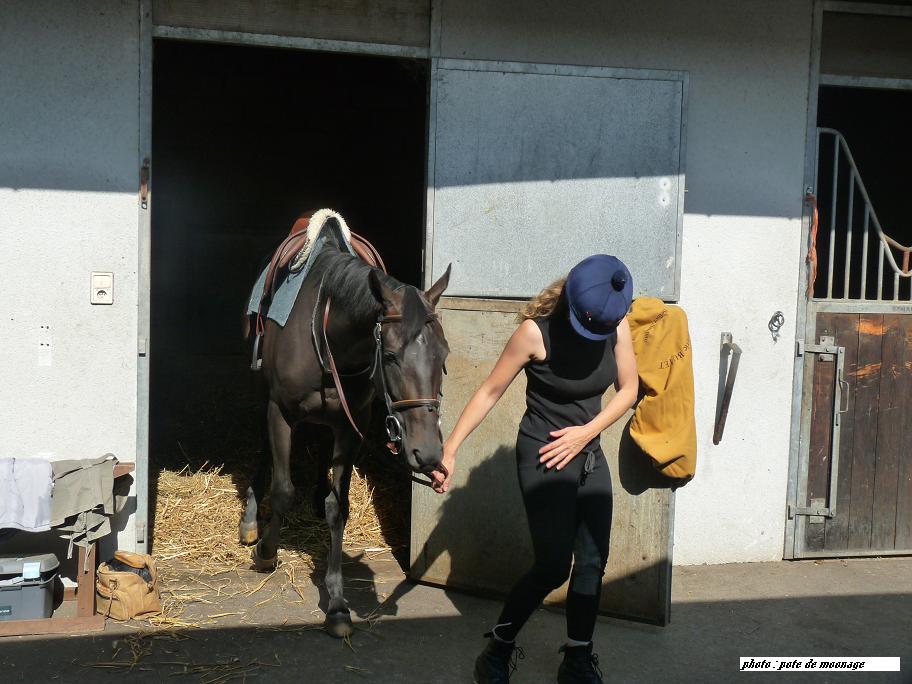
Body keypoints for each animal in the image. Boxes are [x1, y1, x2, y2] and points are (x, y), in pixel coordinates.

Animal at [240, 227, 450, 640]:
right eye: (391, 356)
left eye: (444, 355)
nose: (429, 453)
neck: (328, 339)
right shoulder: (280, 413)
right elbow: (283, 490)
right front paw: (266, 553)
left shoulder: (352, 427)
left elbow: (339, 507)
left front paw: (337, 604)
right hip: (261, 391)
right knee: (262, 448)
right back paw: (251, 521)